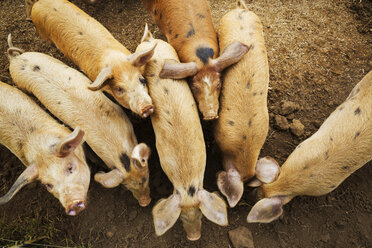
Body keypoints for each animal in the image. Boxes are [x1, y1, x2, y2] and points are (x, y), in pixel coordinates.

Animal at [25, 0, 157, 117]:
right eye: (119, 89)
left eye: (142, 80)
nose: (146, 107)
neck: (113, 60)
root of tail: (39, 3)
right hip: (42, 32)